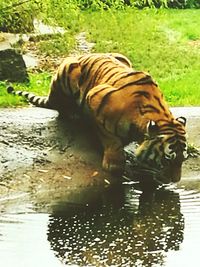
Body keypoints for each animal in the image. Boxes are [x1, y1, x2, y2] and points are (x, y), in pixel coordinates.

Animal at [6, 52, 188, 183]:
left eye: (182, 160)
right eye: (166, 160)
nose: (175, 182)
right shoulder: (95, 96)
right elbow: (109, 137)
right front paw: (115, 163)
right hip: (69, 69)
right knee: (62, 109)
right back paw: (74, 114)